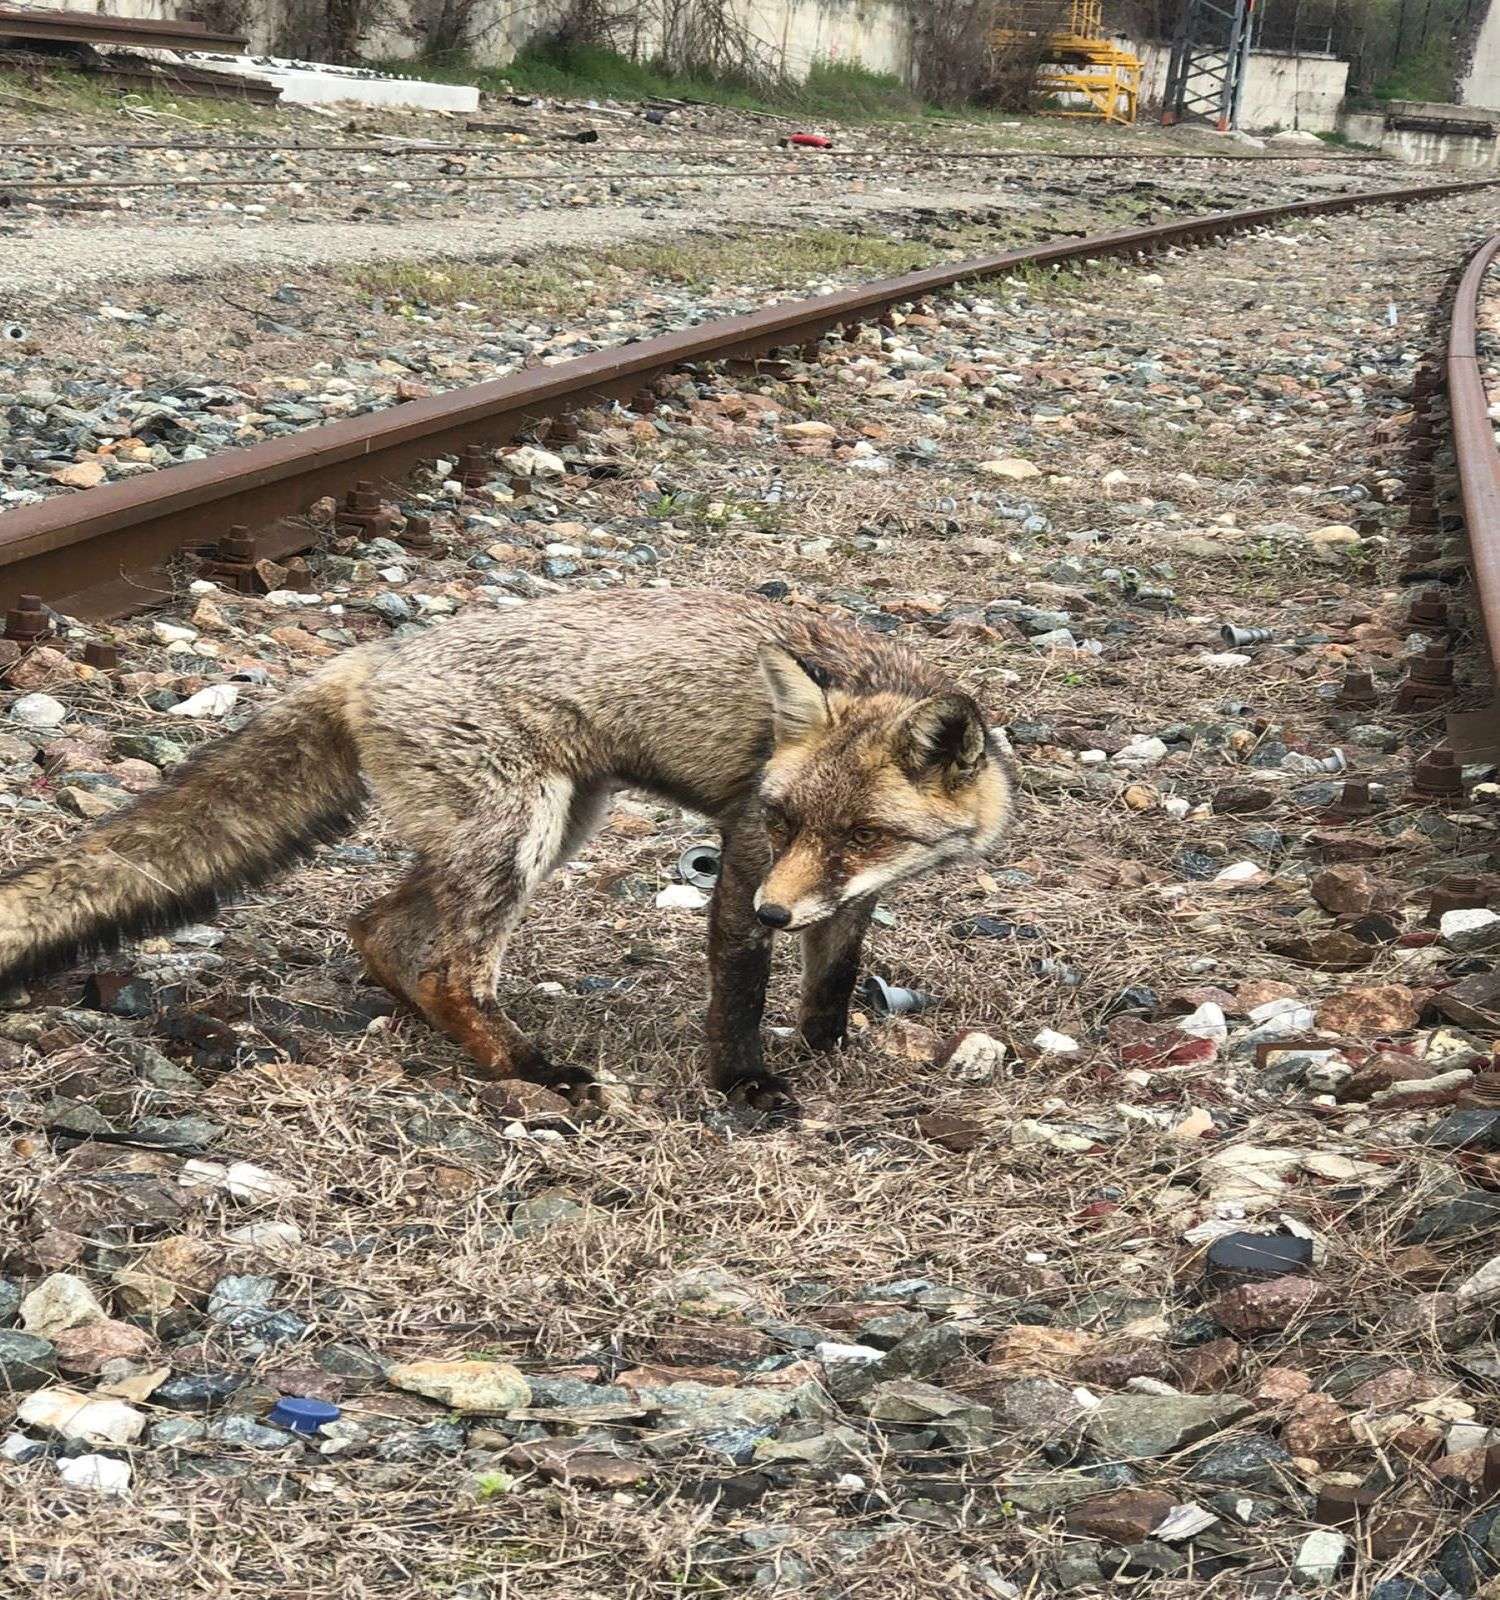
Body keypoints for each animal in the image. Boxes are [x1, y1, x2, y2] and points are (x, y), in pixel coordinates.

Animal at [0, 592, 1010, 1113]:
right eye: (786, 818)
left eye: (864, 836)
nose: (773, 910)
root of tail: (369, 659)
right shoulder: (745, 850)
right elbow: (740, 987)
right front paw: (746, 1081)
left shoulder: (847, 894)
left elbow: (832, 975)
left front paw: (832, 1047)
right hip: (520, 832)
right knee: (450, 966)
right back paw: (532, 1069)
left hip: (550, 826)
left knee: (377, 926)